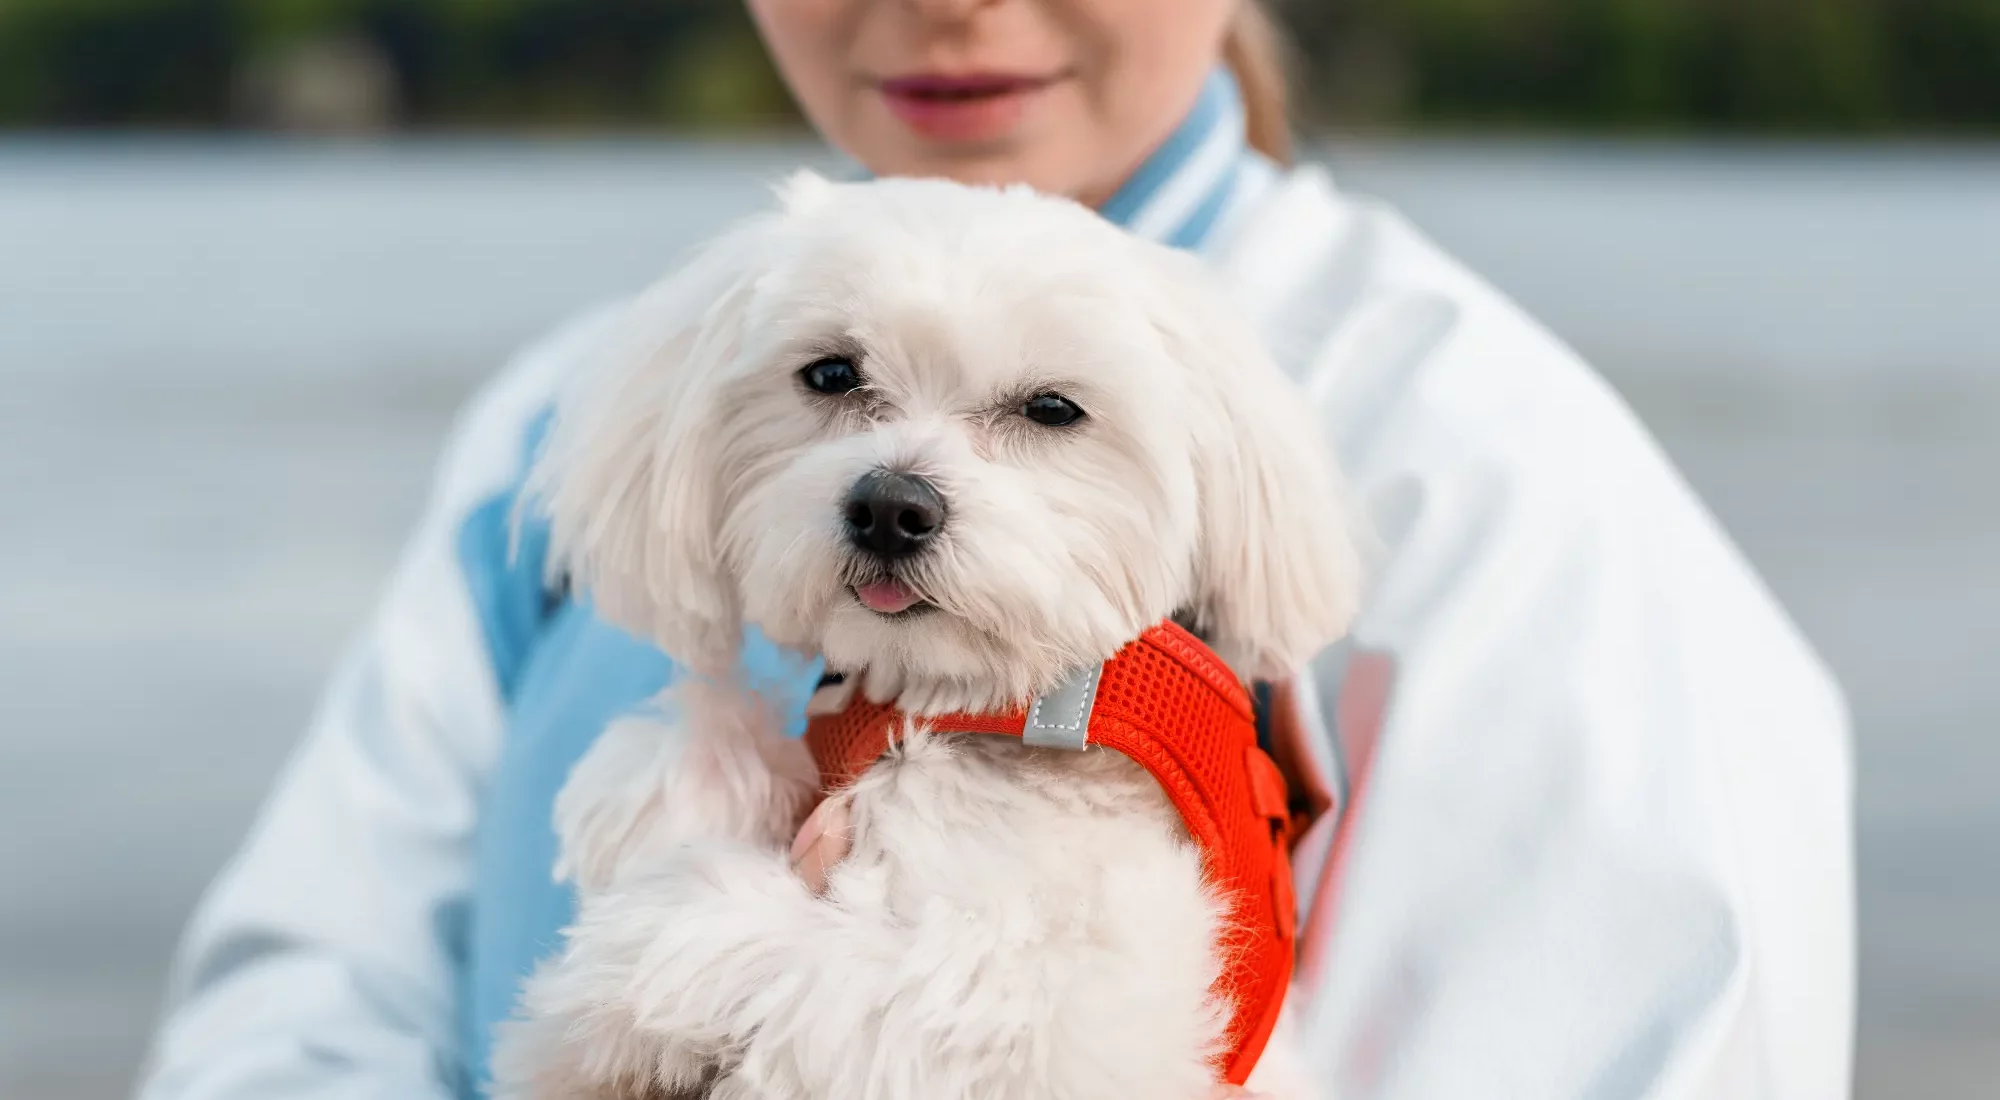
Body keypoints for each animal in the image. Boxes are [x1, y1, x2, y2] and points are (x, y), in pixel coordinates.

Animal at [496, 172, 1360, 1100]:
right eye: (831, 373)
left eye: (1052, 408)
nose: (888, 506)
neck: (969, 701)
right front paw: (672, 781)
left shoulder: (1057, 1014)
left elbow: (811, 968)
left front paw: (599, 1001)